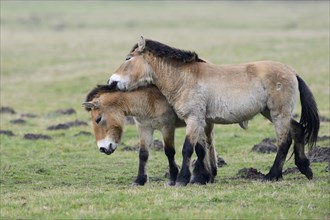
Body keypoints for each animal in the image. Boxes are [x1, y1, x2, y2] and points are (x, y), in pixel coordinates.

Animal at [108, 36, 320, 186]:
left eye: (128, 59)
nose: (112, 82)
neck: (184, 78)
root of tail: (292, 72)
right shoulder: (200, 121)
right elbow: (200, 149)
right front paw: (201, 178)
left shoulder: (193, 119)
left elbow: (187, 149)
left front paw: (183, 180)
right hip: (270, 113)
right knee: (297, 130)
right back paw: (305, 168)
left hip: (278, 114)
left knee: (284, 141)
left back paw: (272, 175)